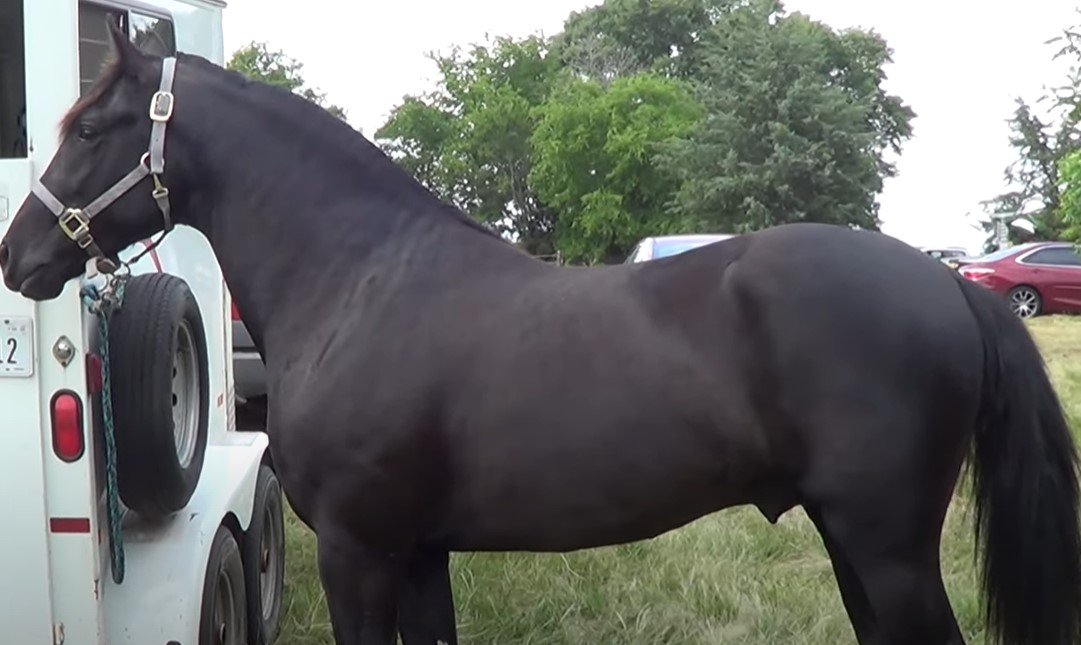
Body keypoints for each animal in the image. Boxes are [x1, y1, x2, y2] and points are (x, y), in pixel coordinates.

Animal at [2, 26, 1079, 645]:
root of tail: (949, 284)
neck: (357, 281)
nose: (18, 256)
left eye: (90, 126)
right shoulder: (419, 553)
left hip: (887, 549)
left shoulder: (357, 551)